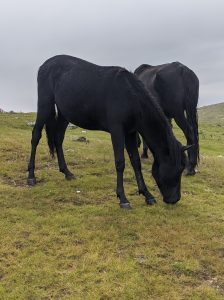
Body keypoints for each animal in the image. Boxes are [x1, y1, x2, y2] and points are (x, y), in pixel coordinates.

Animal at [27, 54, 189, 209]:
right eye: (177, 169)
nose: (174, 199)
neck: (130, 96)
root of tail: (45, 65)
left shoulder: (130, 133)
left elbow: (136, 162)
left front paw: (147, 195)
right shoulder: (117, 131)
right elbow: (120, 162)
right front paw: (123, 198)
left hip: (63, 114)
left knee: (58, 138)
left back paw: (67, 172)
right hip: (45, 104)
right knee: (36, 136)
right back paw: (31, 176)